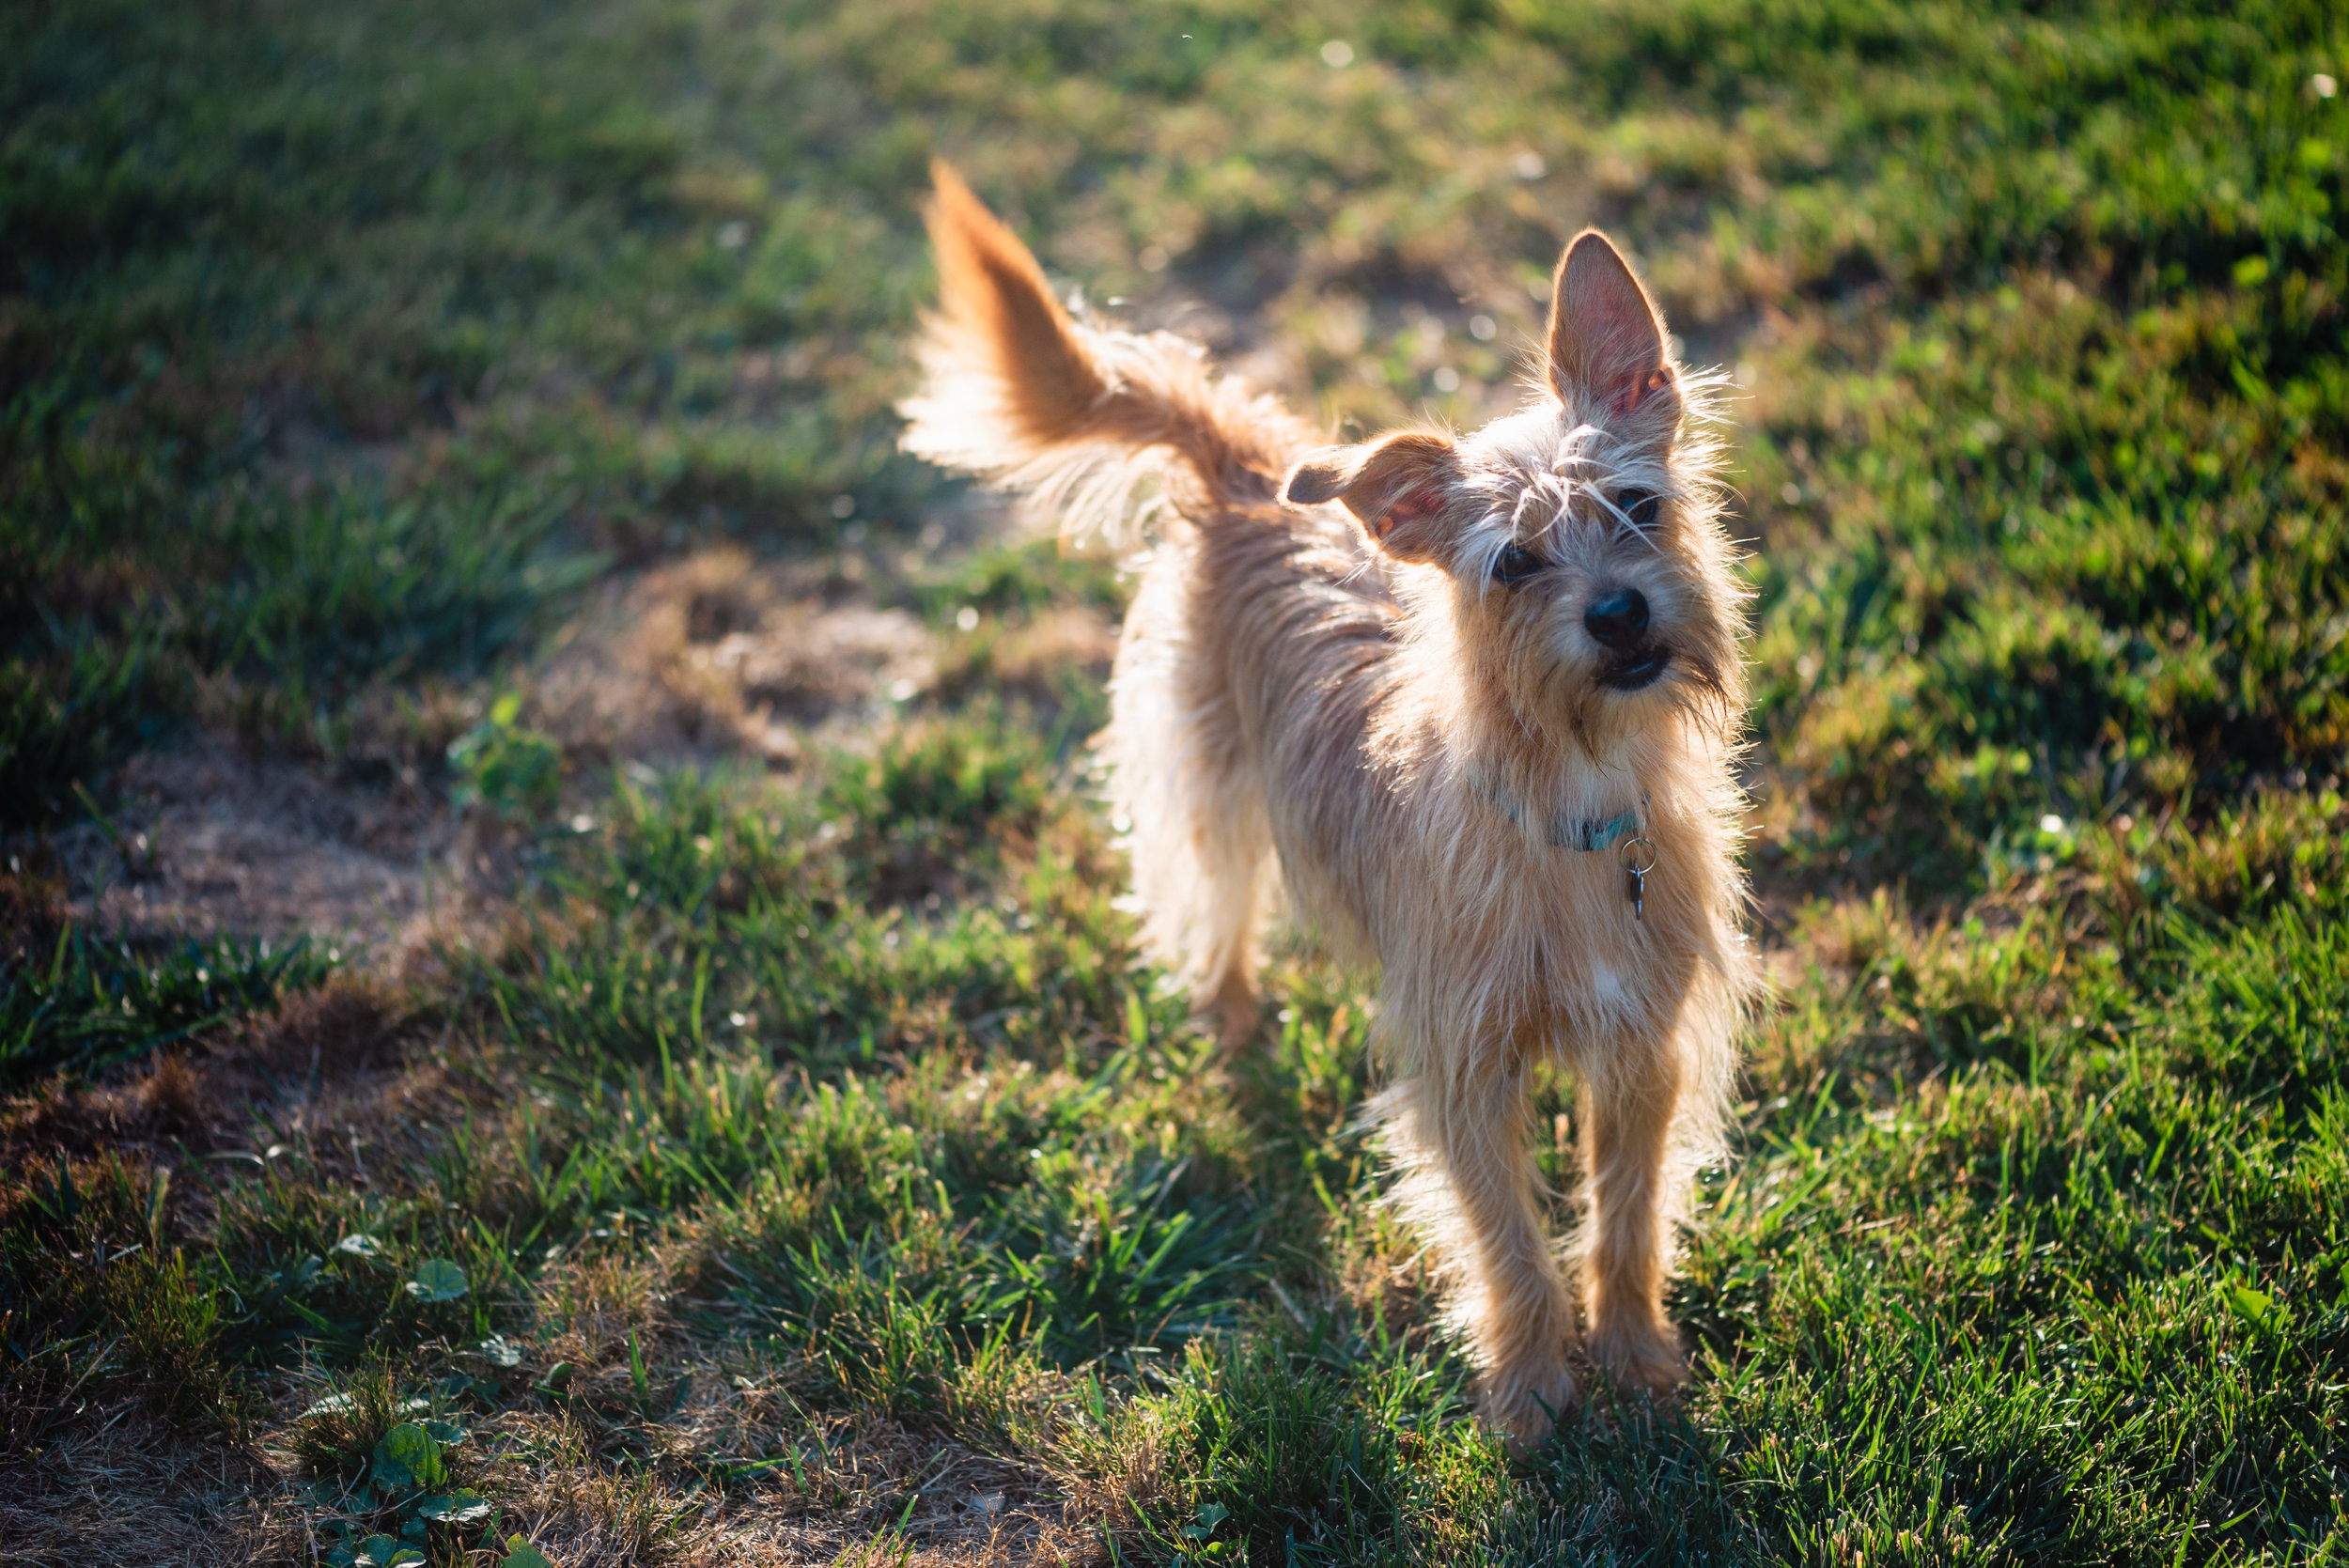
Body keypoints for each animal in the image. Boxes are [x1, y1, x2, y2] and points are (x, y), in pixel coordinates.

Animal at [897, 162, 1748, 1446]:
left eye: (1638, 505)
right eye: (1512, 564)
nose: (1617, 614)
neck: (1570, 803)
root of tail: (1249, 466)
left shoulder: (1641, 1051)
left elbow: (1626, 1211)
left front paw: (1635, 1352)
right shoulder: (1462, 1071)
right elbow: (1507, 1238)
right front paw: (1528, 1388)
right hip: (1211, 789)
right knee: (1214, 917)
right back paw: (1233, 1024)